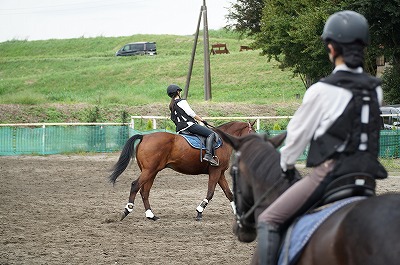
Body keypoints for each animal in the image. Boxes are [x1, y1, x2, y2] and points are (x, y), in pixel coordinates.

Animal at [108, 120, 256, 220]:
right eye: (253, 133)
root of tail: (145, 136)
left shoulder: (220, 173)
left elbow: (229, 193)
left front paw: (238, 214)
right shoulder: (215, 171)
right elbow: (210, 193)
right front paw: (199, 211)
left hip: (152, 172)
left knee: (144, 191)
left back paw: (151, 215)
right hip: (149, 171)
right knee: (135, 185)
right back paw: (127, 210)